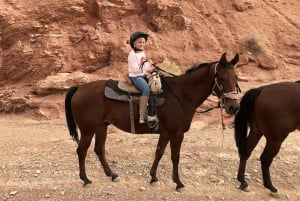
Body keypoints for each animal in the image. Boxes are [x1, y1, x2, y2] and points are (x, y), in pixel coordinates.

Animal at [65, 52, 239, 191]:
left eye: (236, 78)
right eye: (221, 78)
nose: (234, 107)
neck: (180, 95)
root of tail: (79, 88)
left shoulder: (166, 132)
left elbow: (159, 152)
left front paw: (153, 177)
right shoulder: (176, 133)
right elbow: (175, 157)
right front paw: (178, 182)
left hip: (102, 127)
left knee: (99, 150)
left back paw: (112, 175)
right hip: (88, 130)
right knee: (81, 151)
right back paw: (86, 179)